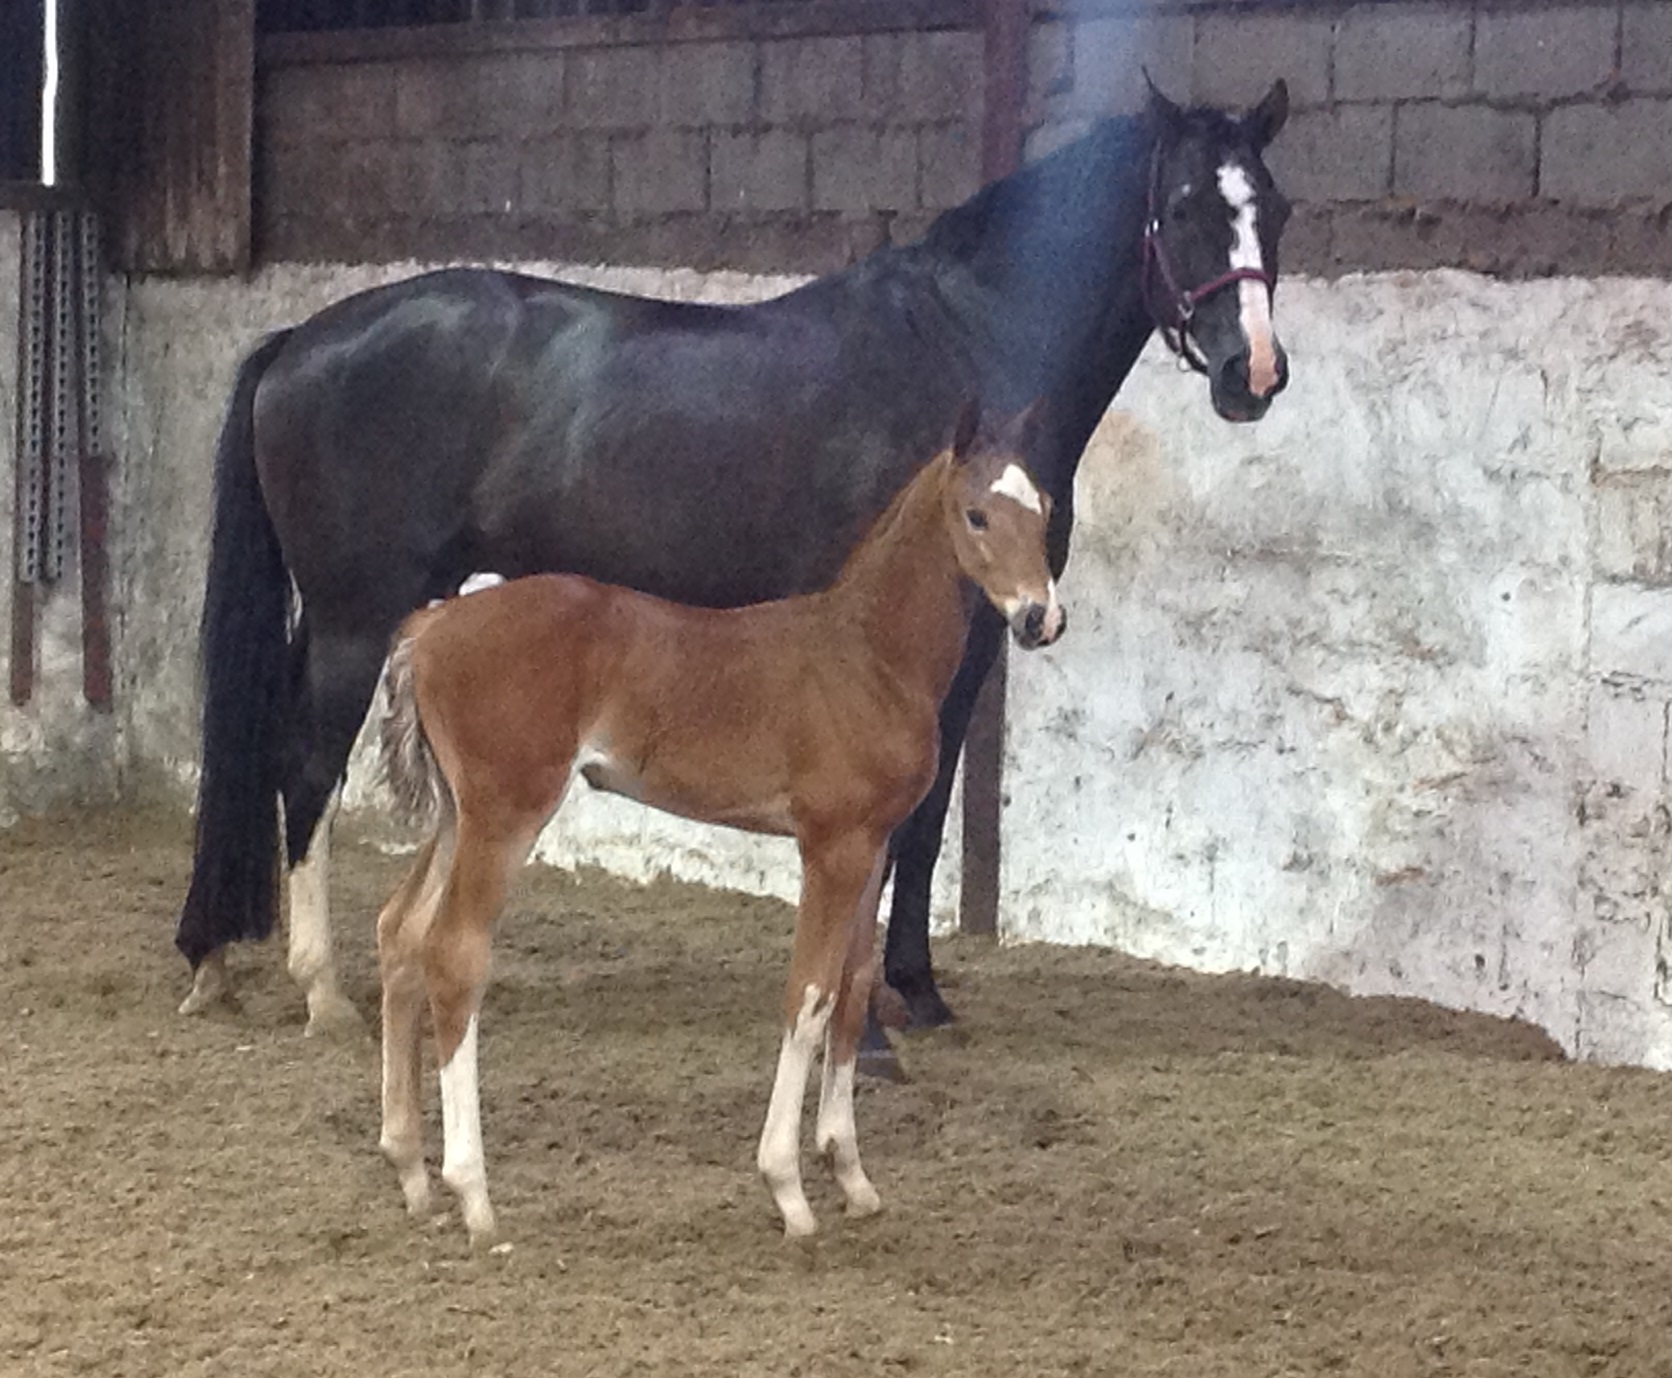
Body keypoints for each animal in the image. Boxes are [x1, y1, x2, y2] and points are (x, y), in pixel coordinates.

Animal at [175, 79, 1292, 1076]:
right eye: (1184, 207)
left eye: (1274, 209)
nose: (1255, 375)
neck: (963, 348)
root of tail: (300, 341)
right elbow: (901, 824)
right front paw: (871, 1027)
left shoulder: (976, 640)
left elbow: (929, 822)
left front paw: (917, 991)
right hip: (356, 617)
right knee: (305, 770)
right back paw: (322, 991)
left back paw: (216, 962)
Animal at [375, 402, 1064, 1243]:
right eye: (976, 515)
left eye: (1045, 510)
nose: (1040, 618)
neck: (868, 657)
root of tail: (429, 629)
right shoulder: (830, 848)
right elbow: (809, 995)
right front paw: (789, 1189)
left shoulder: (874, 846)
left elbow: (854, 989)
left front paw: (852, 1176)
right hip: (504, 815)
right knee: (453, 956)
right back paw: (474, 1196)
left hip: (456, 814)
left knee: (400, 932)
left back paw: (410, 1174)